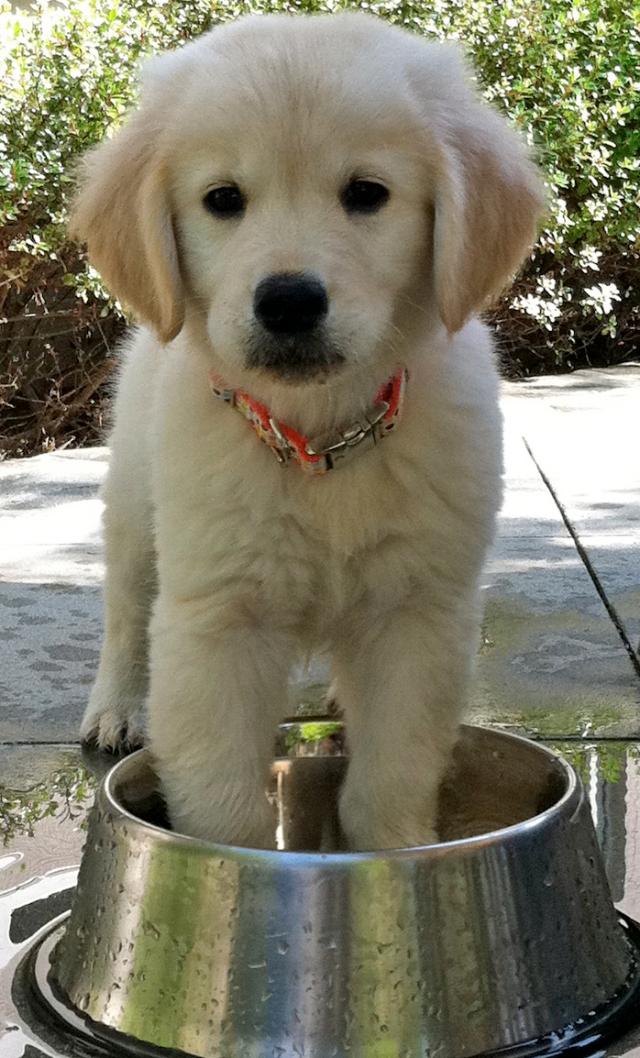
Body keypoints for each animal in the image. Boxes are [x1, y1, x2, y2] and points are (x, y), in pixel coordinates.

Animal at [73, 10, 545, 850]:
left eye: (366, 193)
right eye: (223, 198)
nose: (288, 302)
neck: (321, 438)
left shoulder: (419, 613)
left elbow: (390, 775)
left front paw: (394, 859)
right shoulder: (216, 622)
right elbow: (223, 804)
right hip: (133, 497)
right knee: (127, 609)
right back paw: (118, 705)